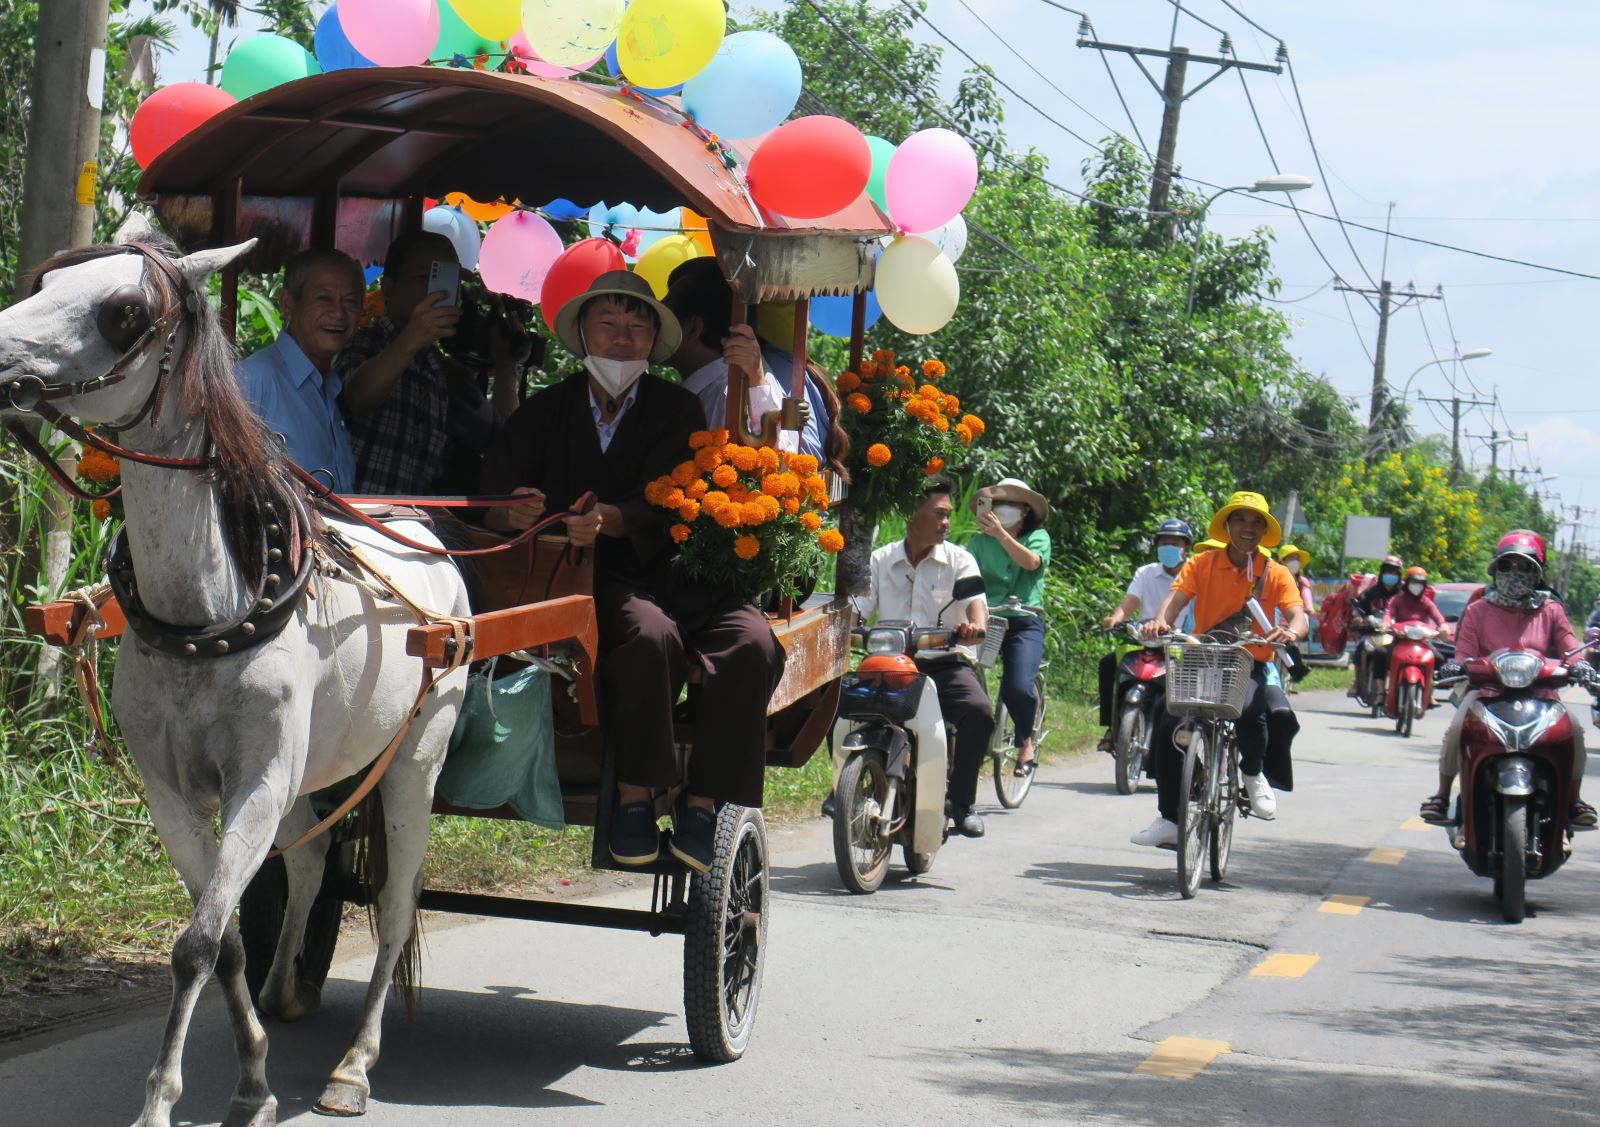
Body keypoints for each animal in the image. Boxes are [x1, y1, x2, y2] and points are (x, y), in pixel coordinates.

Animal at [1, 216, 467, 1120]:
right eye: (42, 283)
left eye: (122, 309)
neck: (208, 612)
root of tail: (425, 531)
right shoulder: (173, 791)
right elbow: (218, 940)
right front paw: (252, 1075)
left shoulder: (259, 779)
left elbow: (195, 941)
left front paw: (162, 1098)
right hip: (316, 773)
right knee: (313, 864)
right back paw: (288, 992)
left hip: (414, 759)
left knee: (395, 908)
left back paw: (355, 1063)